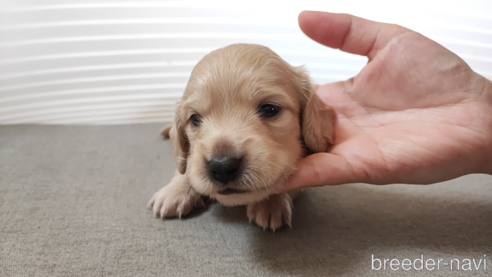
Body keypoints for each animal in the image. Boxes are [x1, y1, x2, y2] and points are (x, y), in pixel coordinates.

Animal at [148, 42, 336, 229]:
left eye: (270, 109)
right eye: (195, 118)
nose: (222, 166)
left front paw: (271, 203)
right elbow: (186, 166)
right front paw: (176, 191)